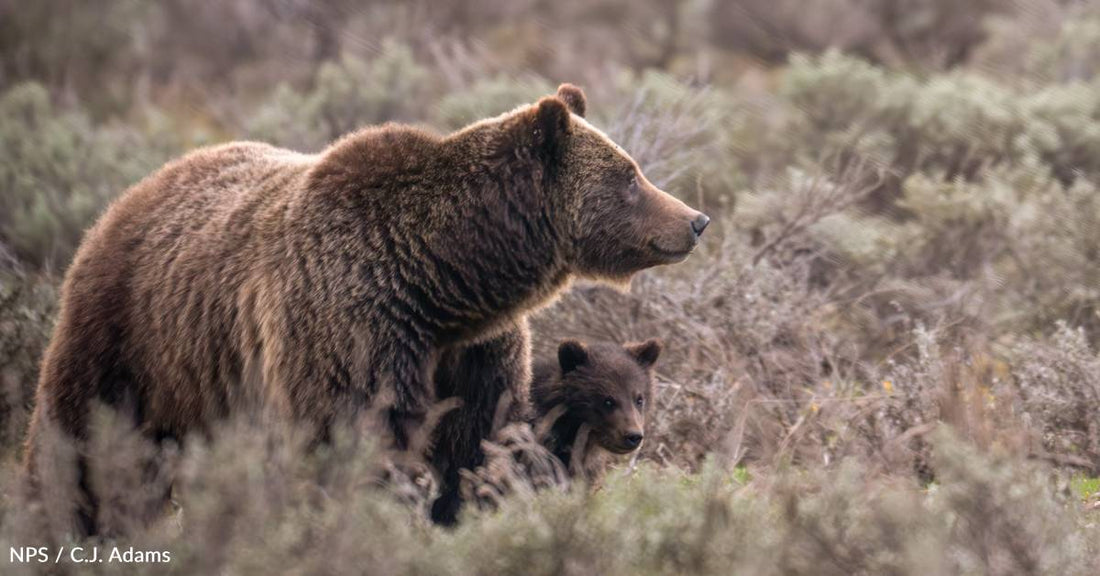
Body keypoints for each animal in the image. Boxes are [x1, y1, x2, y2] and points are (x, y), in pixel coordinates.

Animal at [23, 83, 708, 534]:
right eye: (629, 175)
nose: (695, 220)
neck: (444, 282)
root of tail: (134, 192)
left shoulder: (474, 353)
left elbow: (473, 446)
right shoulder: (353, 328)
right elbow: (355, 442)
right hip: (128, 337)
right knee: (78, 445)